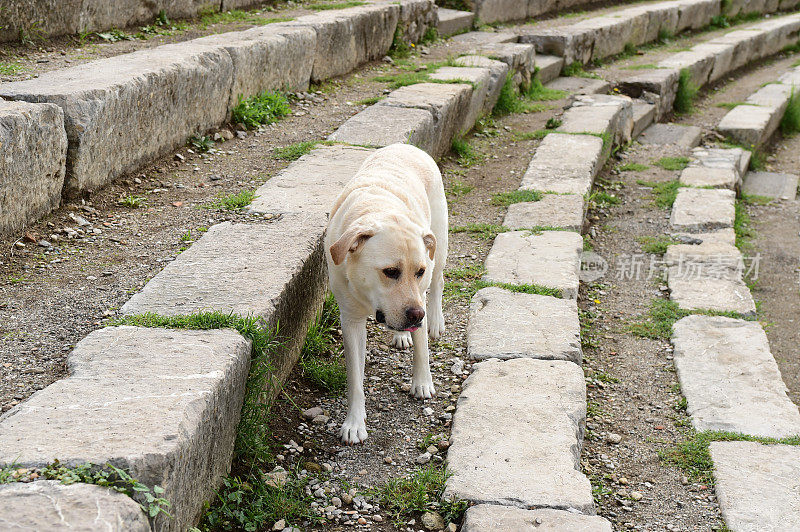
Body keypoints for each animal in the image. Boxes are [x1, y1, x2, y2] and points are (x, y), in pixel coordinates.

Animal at [326, 142, 450, 444]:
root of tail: (405, 145)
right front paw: (354, 423)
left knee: (438, 284)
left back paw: (435, 322)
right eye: (390, 271)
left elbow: (422, 347)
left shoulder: (419, 290)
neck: (378, 209)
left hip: (439, 246)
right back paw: (402, 334)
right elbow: (355, 379)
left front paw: (422, 382)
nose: (417, 315)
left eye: (418, 271)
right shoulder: (351, 320)